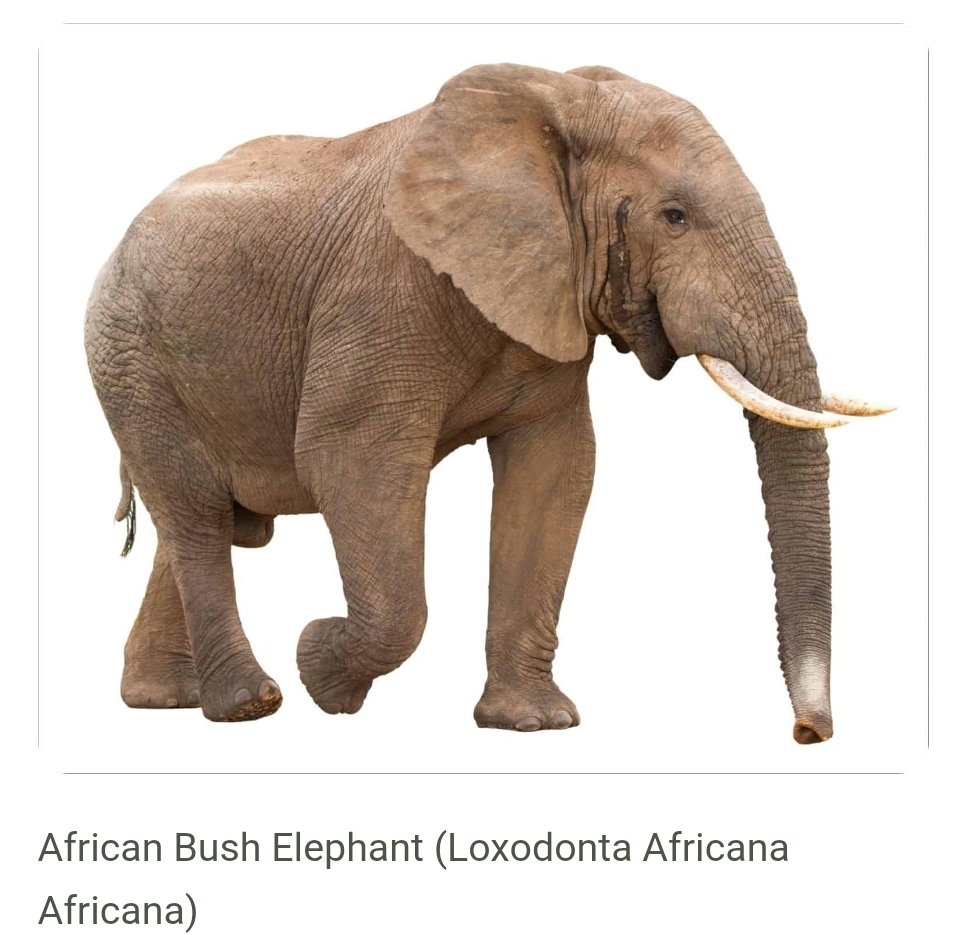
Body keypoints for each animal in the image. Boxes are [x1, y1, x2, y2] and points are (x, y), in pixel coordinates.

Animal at [85, 63, 890, 743]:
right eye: (675, 217)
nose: (808, 733)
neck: (556, 97)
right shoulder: (383, 292)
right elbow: (349, 462)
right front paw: (322, 671)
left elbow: (555, 471)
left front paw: (532, 724)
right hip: (130, 357)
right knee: (197, 515)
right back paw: (250, 704)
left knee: (213, 524)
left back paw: (165, 700)